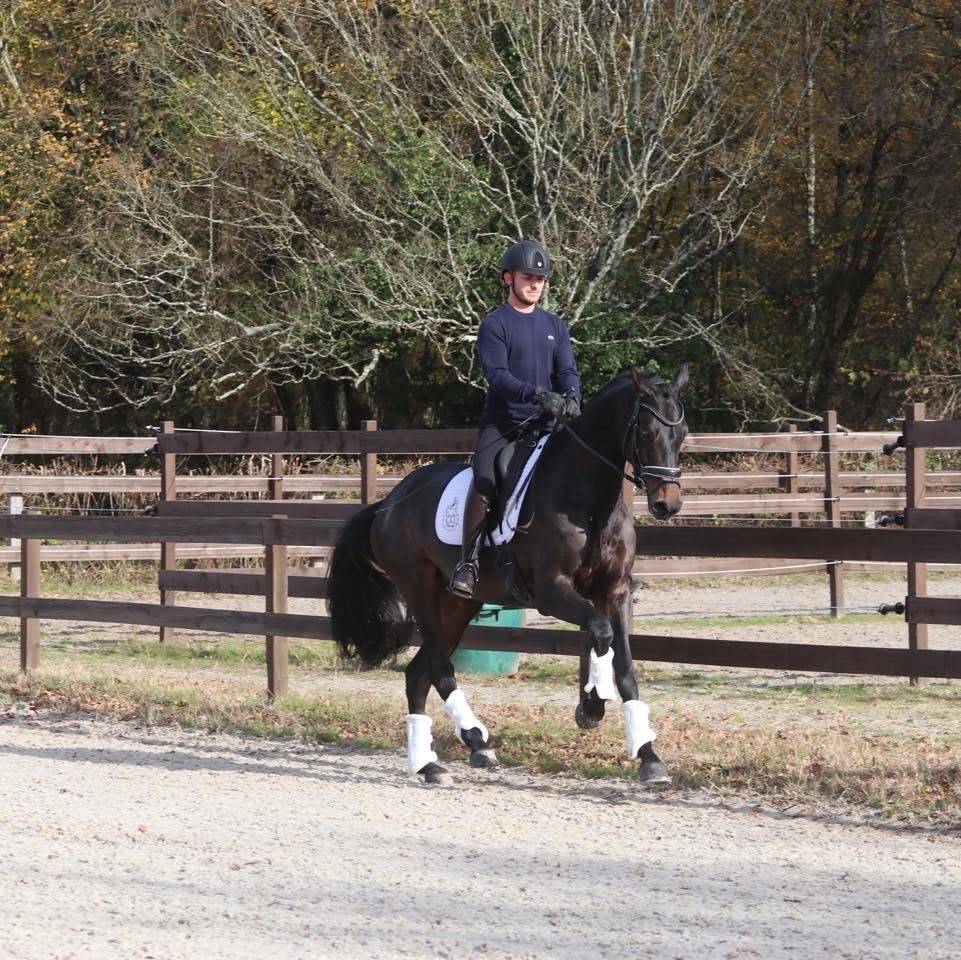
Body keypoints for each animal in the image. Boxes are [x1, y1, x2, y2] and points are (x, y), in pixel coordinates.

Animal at [327, 365, 688, 785]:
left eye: (681, 433)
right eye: (645, 432)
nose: (667, 504)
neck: (588, 503)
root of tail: (387, 504)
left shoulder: (614, 591)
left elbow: (626, 667)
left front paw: (648, 756)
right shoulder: (552, 591)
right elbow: (600, 633)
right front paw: (594, 705)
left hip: (457, 607)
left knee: (418, 674)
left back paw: (432, 762)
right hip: (419, 591)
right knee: (439, 668)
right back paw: (472, 741)